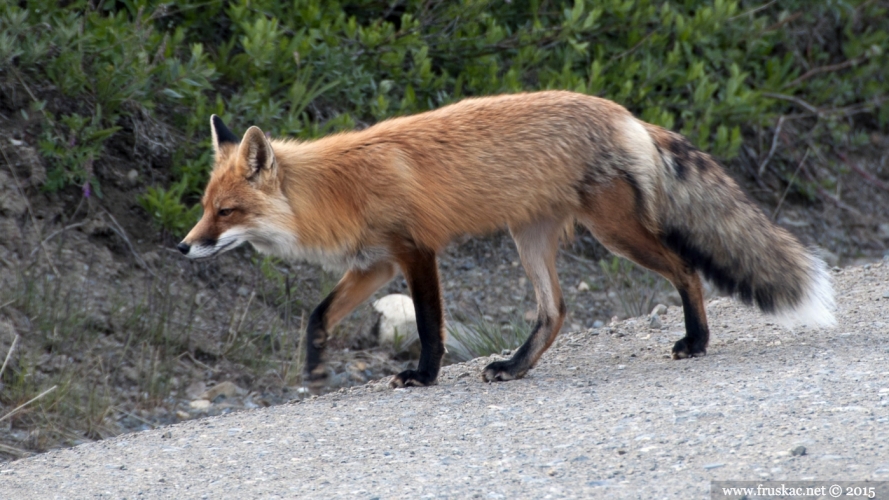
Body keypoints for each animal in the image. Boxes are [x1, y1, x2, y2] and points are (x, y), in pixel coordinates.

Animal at [179, 91, 832, 390]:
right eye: (204, 209)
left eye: (226, 212)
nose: (182, 247)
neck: (339, 189)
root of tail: (622, 112)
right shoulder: (374, 264)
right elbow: (316, 315)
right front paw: (315, 367)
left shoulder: (415, 252)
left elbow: (430, 328)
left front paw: (423, 377)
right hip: (531, 239)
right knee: (555, 311)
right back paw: (516, 366)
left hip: (615, 233)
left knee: (686, 270)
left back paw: (696, 341)